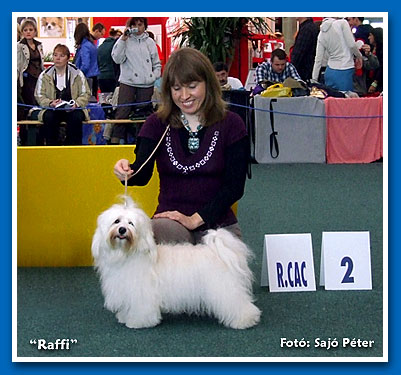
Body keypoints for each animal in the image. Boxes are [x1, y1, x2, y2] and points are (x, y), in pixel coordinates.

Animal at [91, 198, 260, 330]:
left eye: (131, 223)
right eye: (117, 221)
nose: (122, 230)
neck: (127, 254)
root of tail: (221, 251)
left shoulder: (142, 293)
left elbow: (142, 309)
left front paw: (137, 322)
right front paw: (125, 317)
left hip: (224, 289)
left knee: (237, 303)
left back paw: (245, 320)